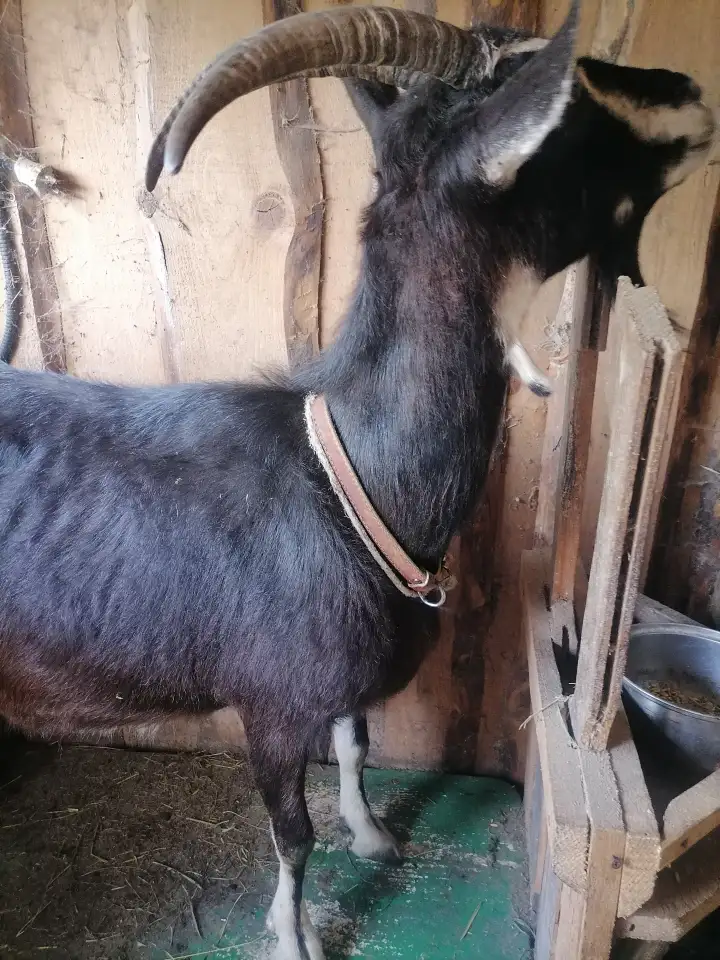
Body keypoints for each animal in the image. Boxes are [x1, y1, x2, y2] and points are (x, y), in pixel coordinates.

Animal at [0, 3, 718, 958]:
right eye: (569, 114)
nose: (691, 89)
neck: (351, 480)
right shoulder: (269, 704)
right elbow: (293, 833)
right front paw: (293, 935)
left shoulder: (338, 690)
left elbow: (356, 743)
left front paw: (374, 834)